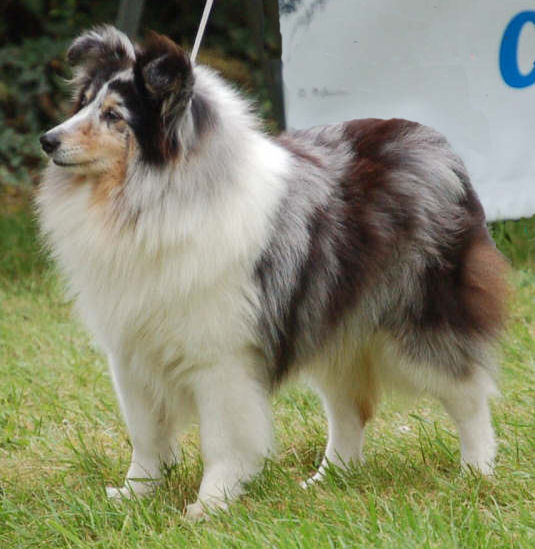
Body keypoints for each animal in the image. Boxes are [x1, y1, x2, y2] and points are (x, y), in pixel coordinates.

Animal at [37, 26, 508, 519]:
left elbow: (222, 442)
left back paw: (476, 472)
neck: (149, 199)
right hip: (335, 328)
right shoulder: (131, 353)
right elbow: (146, 436)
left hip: (420, 322)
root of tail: (435, 143)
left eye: (113, 115)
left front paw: (209, 506)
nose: (47, 140)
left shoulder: (219, 359)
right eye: (83, 102)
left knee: (468, 393)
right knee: (348, 410)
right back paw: (329, 479)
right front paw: (133, 496)